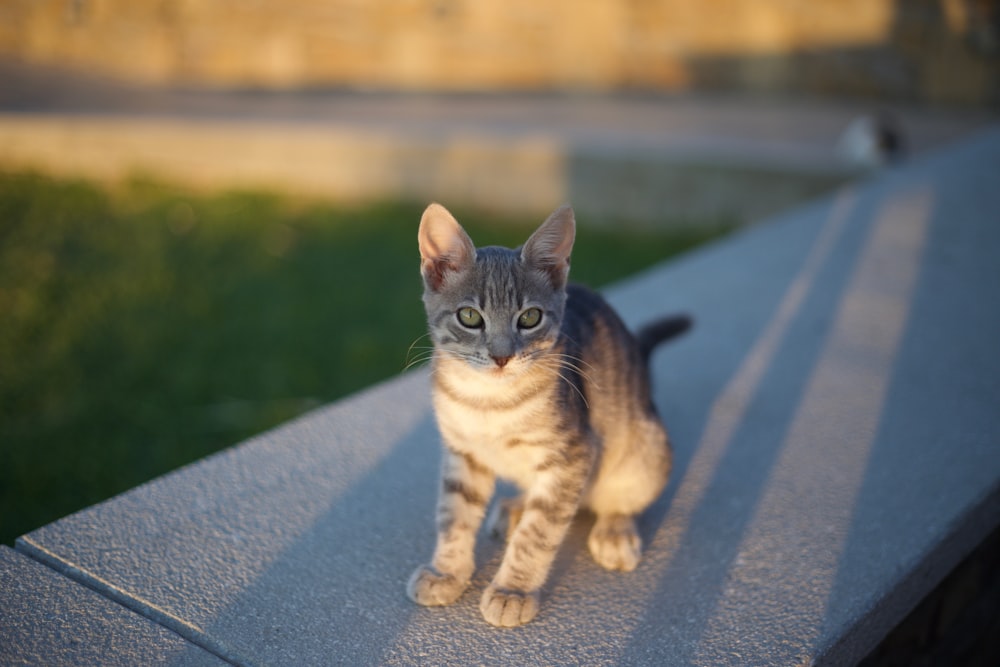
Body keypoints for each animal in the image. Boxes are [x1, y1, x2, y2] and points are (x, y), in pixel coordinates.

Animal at [406, 202, 688, 628]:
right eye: (469, 317)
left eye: (529, 318)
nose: (502, 356)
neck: (488, 401)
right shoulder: (463, 452)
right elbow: (454, 513)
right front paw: (447, 571)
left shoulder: (572, 454)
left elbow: (538, 533)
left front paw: (512, 590)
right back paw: (516, 507)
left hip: (644, 447)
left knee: (620, 497)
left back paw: (614, 530)